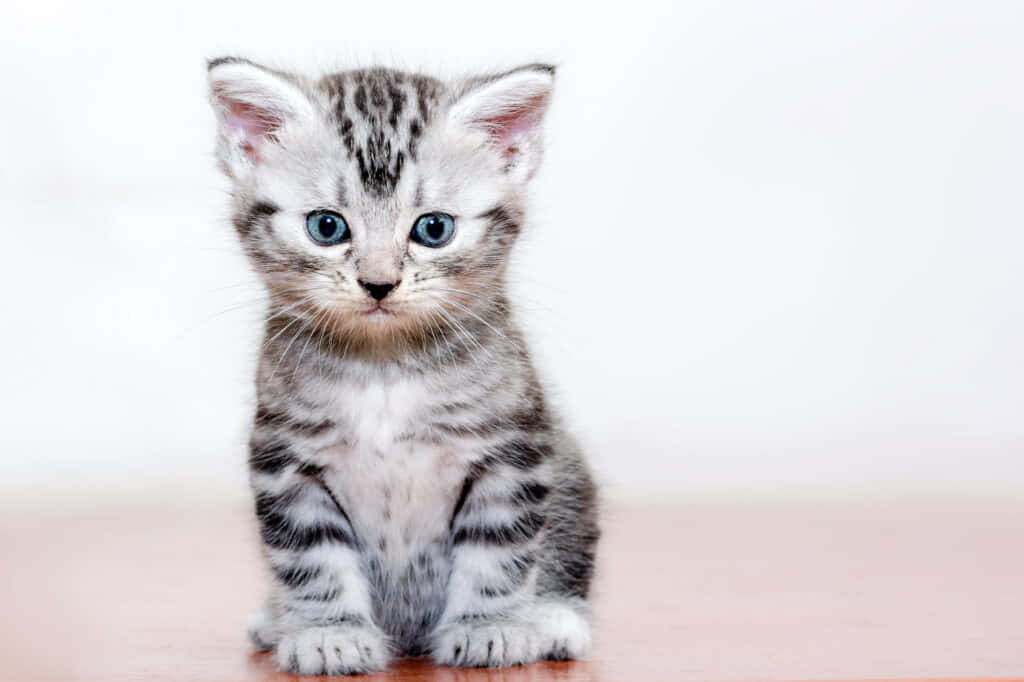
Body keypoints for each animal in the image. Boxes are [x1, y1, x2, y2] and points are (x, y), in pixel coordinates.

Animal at [206, 58, 598, 675]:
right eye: (327, 227)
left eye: (433, 229)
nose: (378, 283)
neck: (384, 367)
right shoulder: (287, 460)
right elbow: (313, 558)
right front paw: (329, 633)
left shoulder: (513, 450)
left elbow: (497, 552)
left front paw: (489, 627)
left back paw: (554, 619)